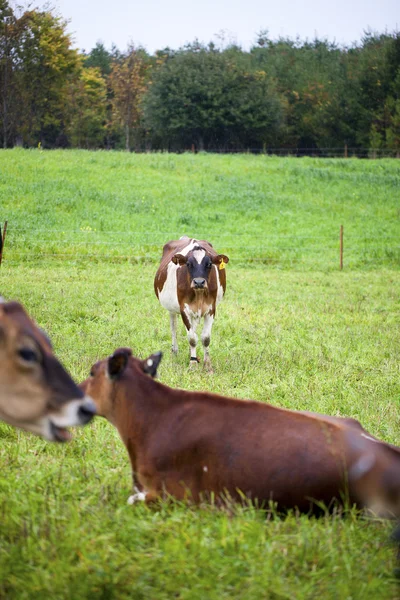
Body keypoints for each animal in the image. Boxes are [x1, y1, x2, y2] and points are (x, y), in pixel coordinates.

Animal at [153, 236, 228, 370]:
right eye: (188, 264)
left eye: (209, 264)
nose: (199, 282)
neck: (199, 294)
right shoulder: (184, 310)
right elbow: (192, 338)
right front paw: (193, 364)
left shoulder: (211, 309)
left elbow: (205, 338)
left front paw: (207, 364)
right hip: (172, 309)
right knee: (174, 328)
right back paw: (175, 351)